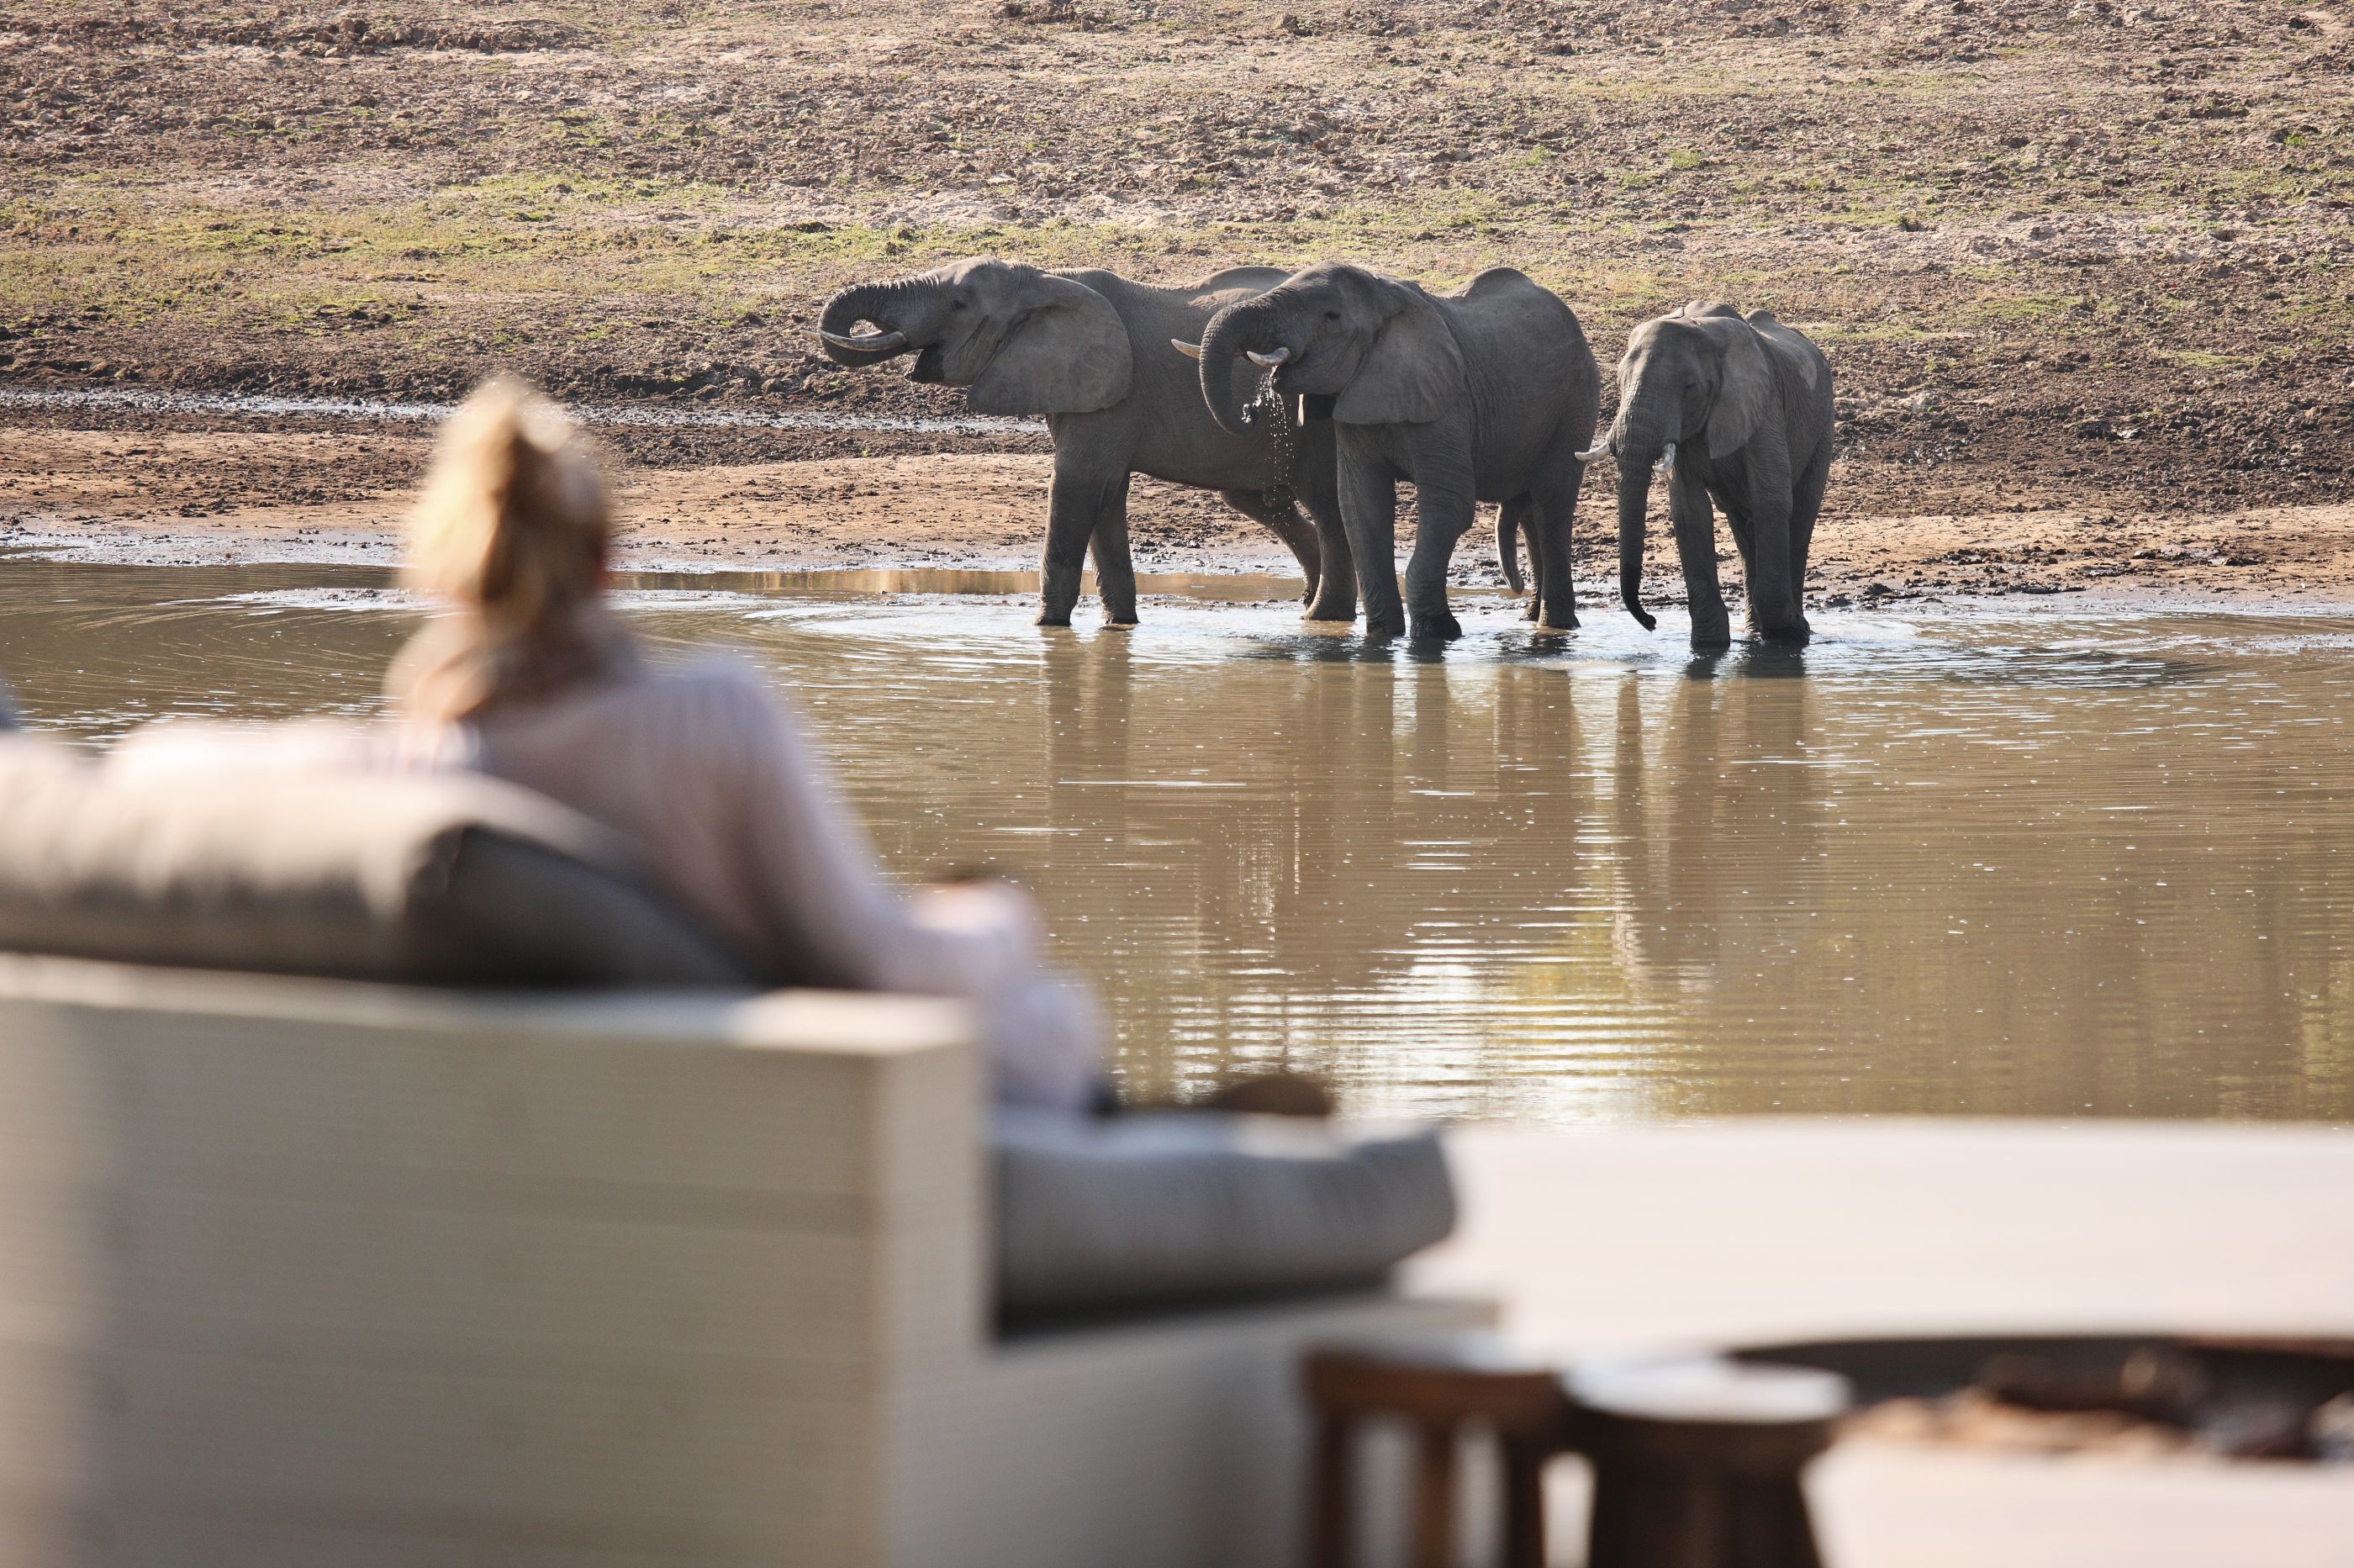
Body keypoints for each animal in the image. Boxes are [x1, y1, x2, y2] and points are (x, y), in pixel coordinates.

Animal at [819, 255, 1355, 621]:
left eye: (958, 304)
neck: (1043, 279)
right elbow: (1105, 497)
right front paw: (1121, 627)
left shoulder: (1111, 398)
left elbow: (1076, 489)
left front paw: (1045, 628)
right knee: (1258, 500)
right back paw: (1308, 603)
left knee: (1320, 499)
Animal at [1177, 259, 1601, 640]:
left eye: (1331, 317)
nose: (1250, 411)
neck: (1384, 298)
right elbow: (1360, 506)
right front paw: (1382, 635)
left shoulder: (1446, 402)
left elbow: (1448, 504)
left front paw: (1437, 634)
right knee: (1530, 509)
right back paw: (1533, 620)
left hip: (1577, 400)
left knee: (1552, 505)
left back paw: (1557, 627)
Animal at [1581, 301, 1836, 645]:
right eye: (1621, 380)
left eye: (1690, 388)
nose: (1651, 621)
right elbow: (1690, 512)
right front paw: (1708, 645)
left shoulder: (1763, 405)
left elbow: (1771, 500)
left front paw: (1788, 638)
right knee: (1743, 526)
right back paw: (1754, 631)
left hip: (1823, 427)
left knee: (1800, 515)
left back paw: (1794, 629)